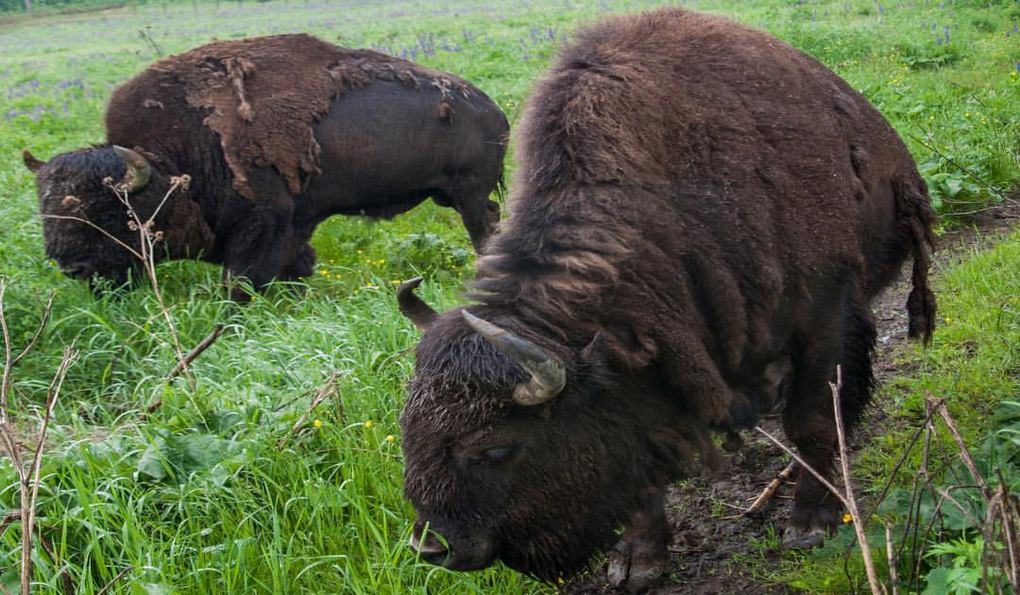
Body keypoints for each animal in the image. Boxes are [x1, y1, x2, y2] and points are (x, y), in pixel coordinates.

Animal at [25, 33, 510, 293]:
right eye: (45, 210)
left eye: (106, 212)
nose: (72, 268)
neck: (171, 165)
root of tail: (492, 108)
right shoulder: (294, 223)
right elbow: (295, 265)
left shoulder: (263, 224)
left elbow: (242, 280)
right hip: (452, 194)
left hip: (467, 193)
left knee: (482, 224)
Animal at [393, 6, 934, 591]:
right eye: (408, 429)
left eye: (496, 447)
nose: (434, 547)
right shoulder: (647, 364)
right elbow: (642, 465)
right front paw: (638, 561)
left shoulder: (824, 309)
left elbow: (813, 418)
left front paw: (810, 525)